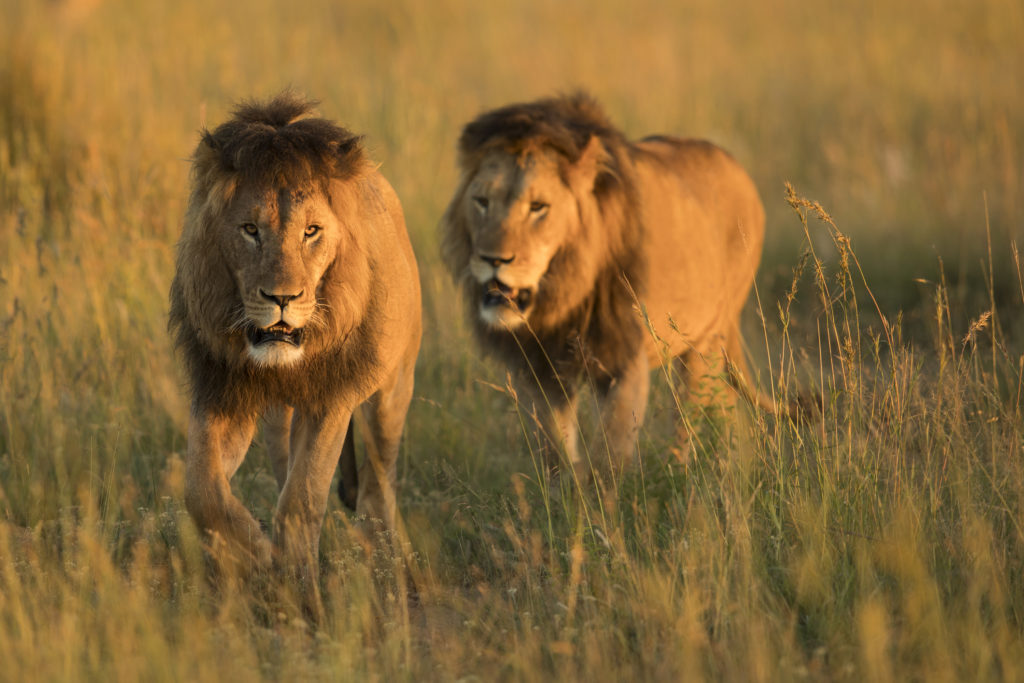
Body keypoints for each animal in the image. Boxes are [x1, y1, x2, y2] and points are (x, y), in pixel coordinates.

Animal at [167, 92, 419, 610]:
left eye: (311, 231)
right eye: (249, 230)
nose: (281, 298)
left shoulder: (330, 402)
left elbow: (301, 502)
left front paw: (301, 595)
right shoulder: (223, 391)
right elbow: (204, 491)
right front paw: (260, 558)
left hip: (392, 391)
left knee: (379, 482)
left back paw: (387, 563)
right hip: (278, 421)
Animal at [438, 92, 770, 475]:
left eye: (538, 207)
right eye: (481, 202)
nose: (493, 259)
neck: (563, 294)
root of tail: (735, 165)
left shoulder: (623, 361)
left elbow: (610, 453)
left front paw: (604, 490)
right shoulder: (539, 369)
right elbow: (554, 451)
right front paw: (566, 489)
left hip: (704, 342)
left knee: (692, 417)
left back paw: (686, 473)